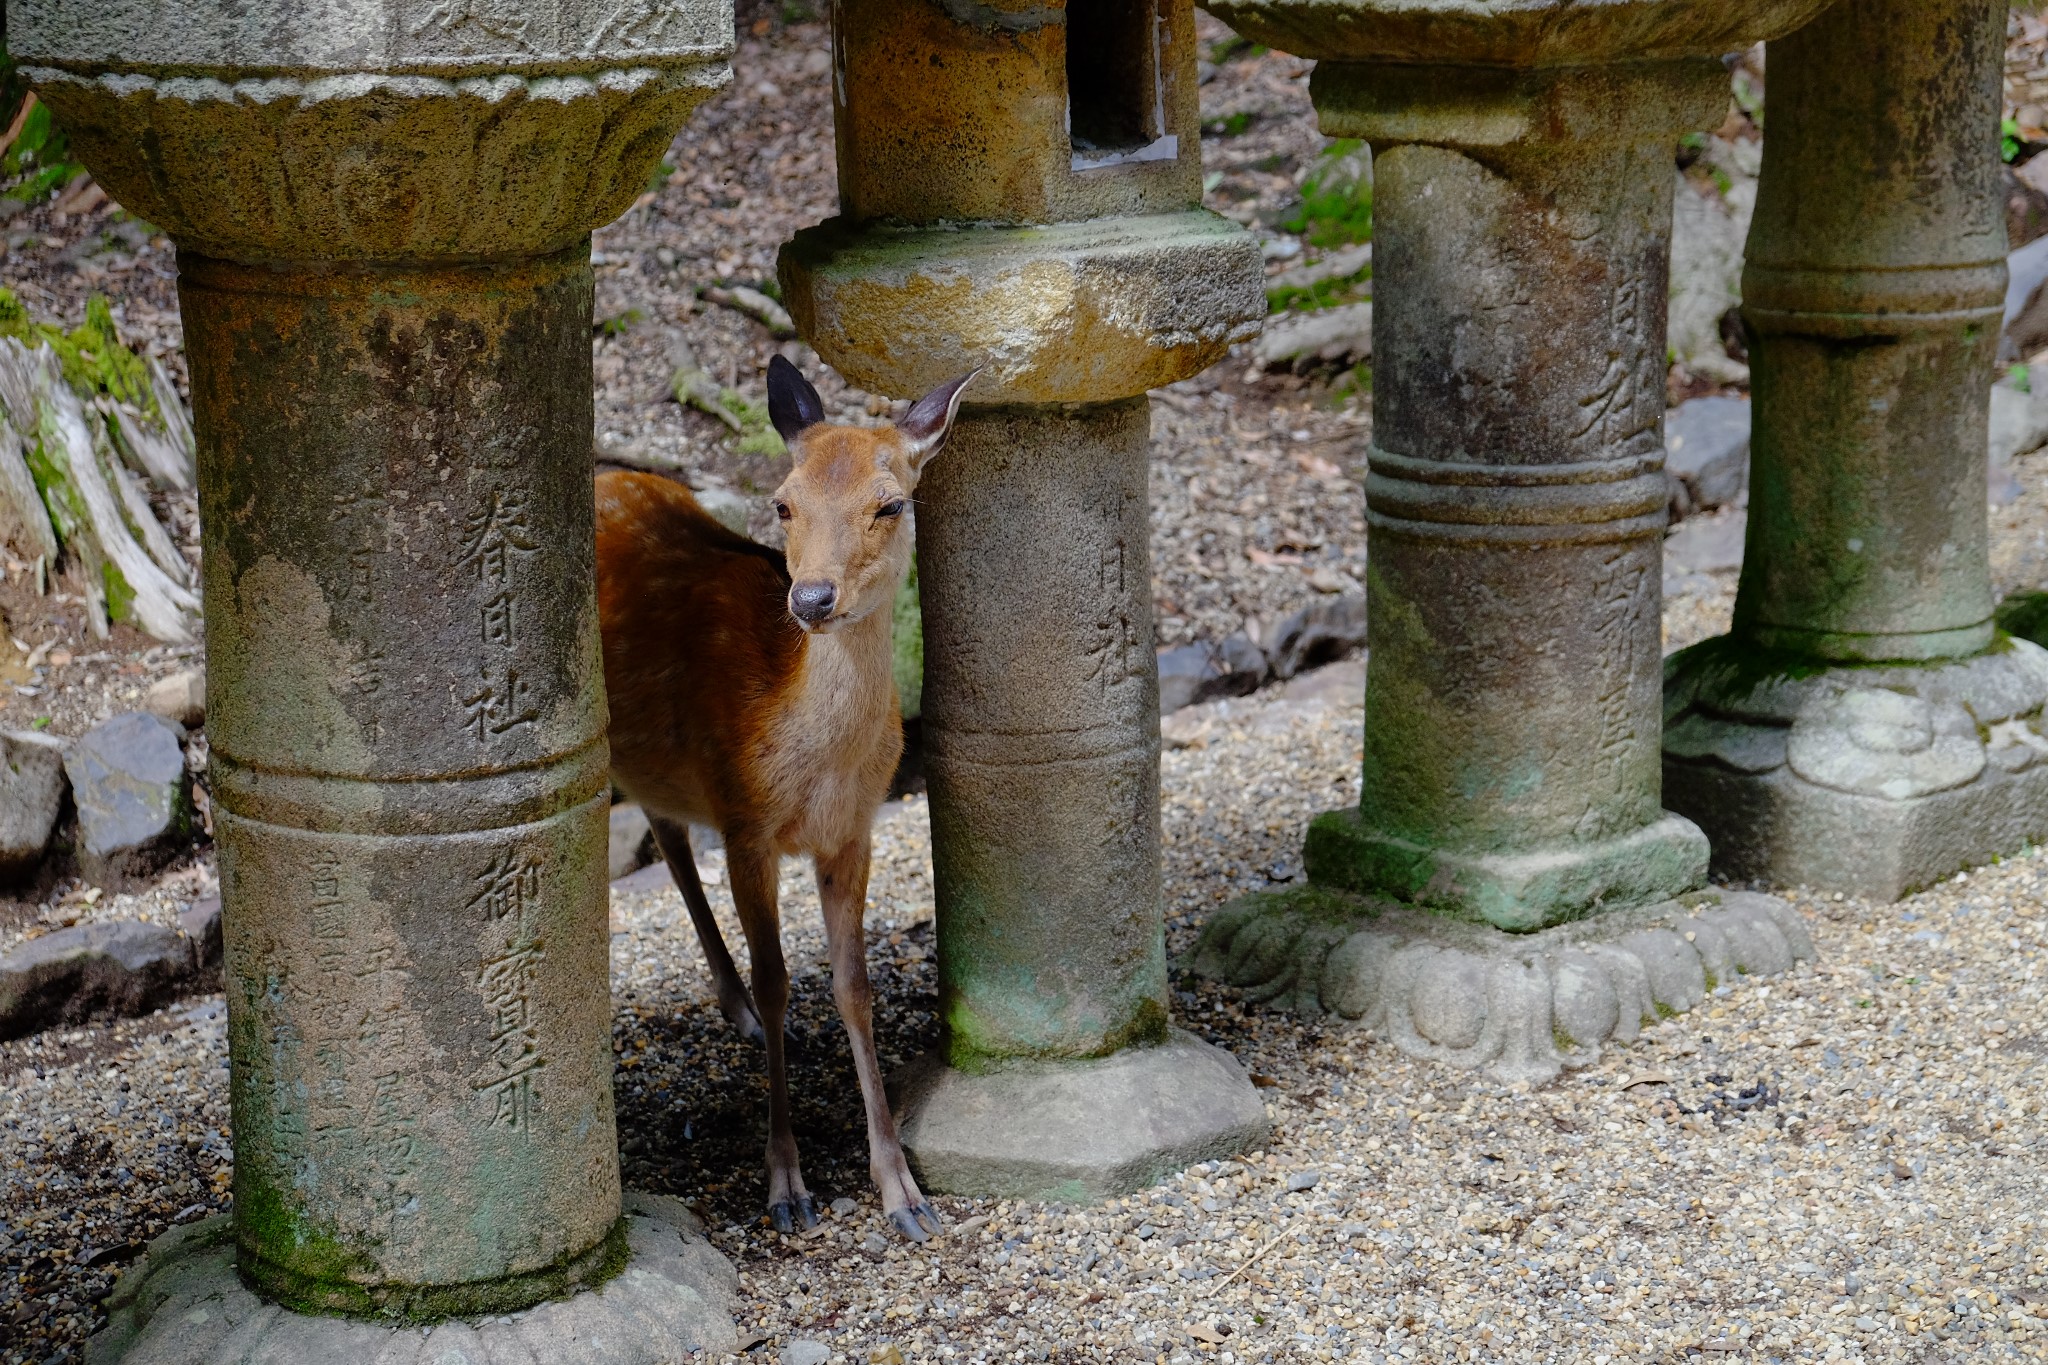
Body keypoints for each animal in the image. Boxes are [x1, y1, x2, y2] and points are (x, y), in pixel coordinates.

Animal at [593, 358, 974, 1244]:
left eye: (890, 503)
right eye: (782, 502)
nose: (812, 599)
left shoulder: (854, 831)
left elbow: (853, 988)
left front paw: (902, 1190)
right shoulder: (746, 821)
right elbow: (779, 977)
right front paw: (787, 1183)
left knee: (664, 826)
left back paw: (730, 1004)